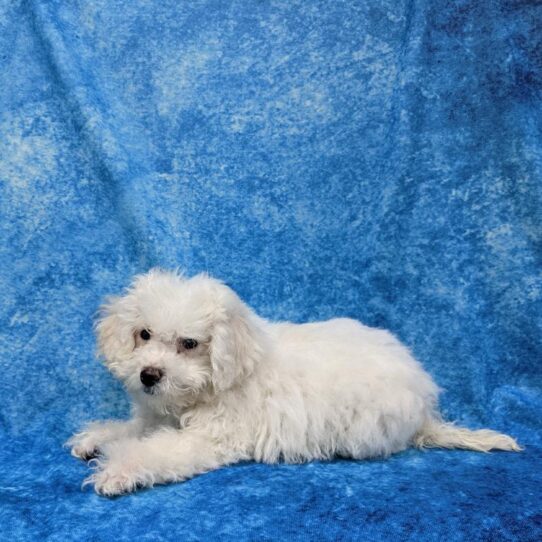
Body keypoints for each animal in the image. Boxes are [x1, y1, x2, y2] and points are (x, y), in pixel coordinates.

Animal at [68, 270, 524, 498]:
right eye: (143, 334)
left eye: (189, 344)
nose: (148, 375)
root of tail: (425, 410)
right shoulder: (156, 416)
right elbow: (133, 429)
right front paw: (95, 438)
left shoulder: (209, 438)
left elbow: (156, 451)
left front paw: (117, 471)